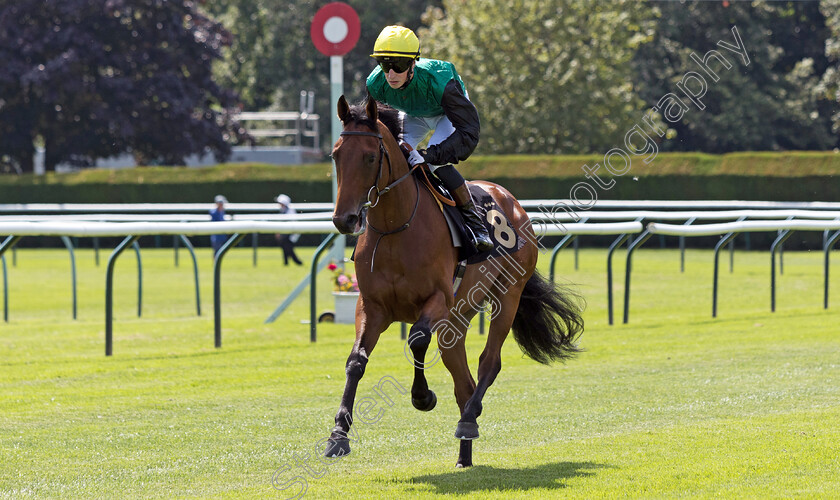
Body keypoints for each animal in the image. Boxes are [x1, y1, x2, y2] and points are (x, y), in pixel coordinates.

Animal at [324, 96, 580, 468]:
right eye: (336, 155)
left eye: (370, 157)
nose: (345, 219)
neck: (396, 227)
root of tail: (511, 201)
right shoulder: (371, 306)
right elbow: (356, 361)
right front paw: (338, 436)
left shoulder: (438, 301)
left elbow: (417, 339)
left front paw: (423, 396)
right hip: (456, 323)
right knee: (464, 382)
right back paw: (464, 450)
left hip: (507, 296)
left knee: (489, 363)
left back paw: (469, 420)